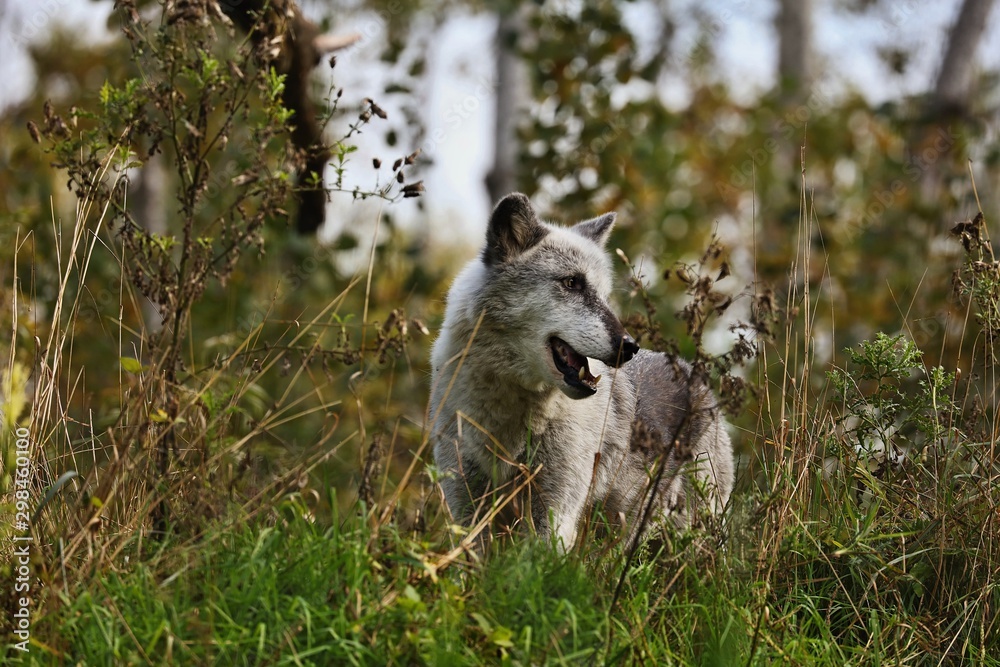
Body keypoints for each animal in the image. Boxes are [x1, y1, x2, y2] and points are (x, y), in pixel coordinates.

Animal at [429, 193, 733, 549]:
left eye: (604, 294)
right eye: (572, 283)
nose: (629, 346)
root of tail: (694, 374)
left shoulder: (555, 512)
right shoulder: (465, 505)